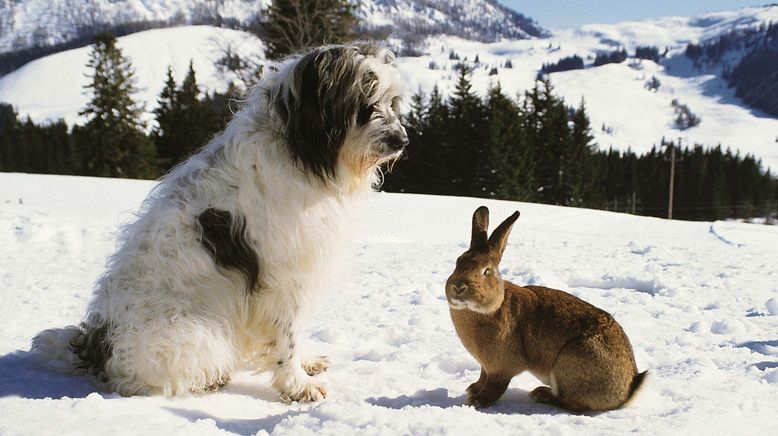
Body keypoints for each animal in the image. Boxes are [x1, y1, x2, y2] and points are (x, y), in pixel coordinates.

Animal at [30, 41, 406, 402]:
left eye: (392, 101)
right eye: (365, 103)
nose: (401, 140)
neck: (299, 148)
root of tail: (97, 346)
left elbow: (297, 333)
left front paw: (307, 362)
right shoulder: (281, 278)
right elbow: (286, 337)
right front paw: (297, 385)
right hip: (194, 335)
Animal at [442, 207, 644, 412]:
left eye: (486, 271)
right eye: (458, 262)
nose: (458, 286)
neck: (490, 308)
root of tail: (627, 389)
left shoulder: (501, 367)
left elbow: (495, 387)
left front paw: (477, 401)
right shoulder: (485, 366)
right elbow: (482, 377)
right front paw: (472, 389)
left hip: (570, 364)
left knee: (574, 404)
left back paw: (541, 394)